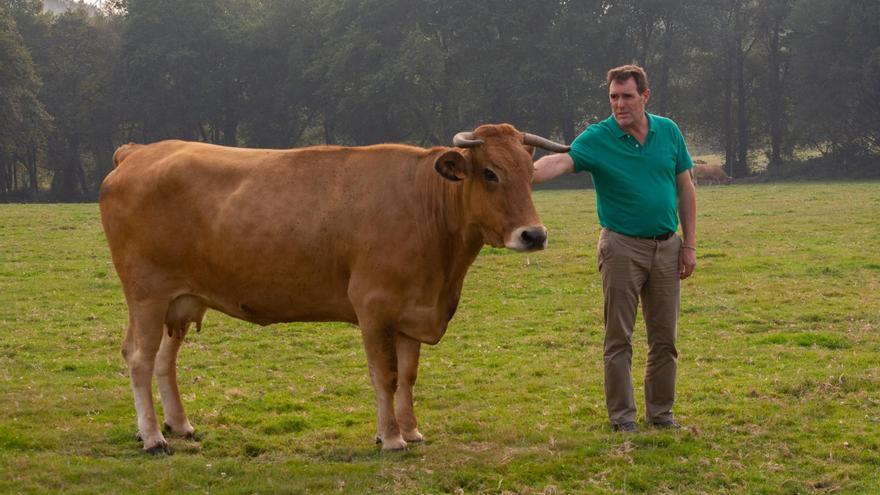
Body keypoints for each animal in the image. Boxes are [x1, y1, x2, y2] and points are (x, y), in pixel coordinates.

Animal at [99, 124, 569, 454]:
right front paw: (391, 438)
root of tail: (140, 152)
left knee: (164, 360)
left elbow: (409, 377)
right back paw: (153, 438)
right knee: (139, 359)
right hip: (146, 294)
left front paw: (412, 430)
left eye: (529, 173)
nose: (534, 235)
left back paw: (179, 425)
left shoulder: (411, 313)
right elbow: (386, 376)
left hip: (180, 301)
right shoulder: (374, 309)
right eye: (490, 173)